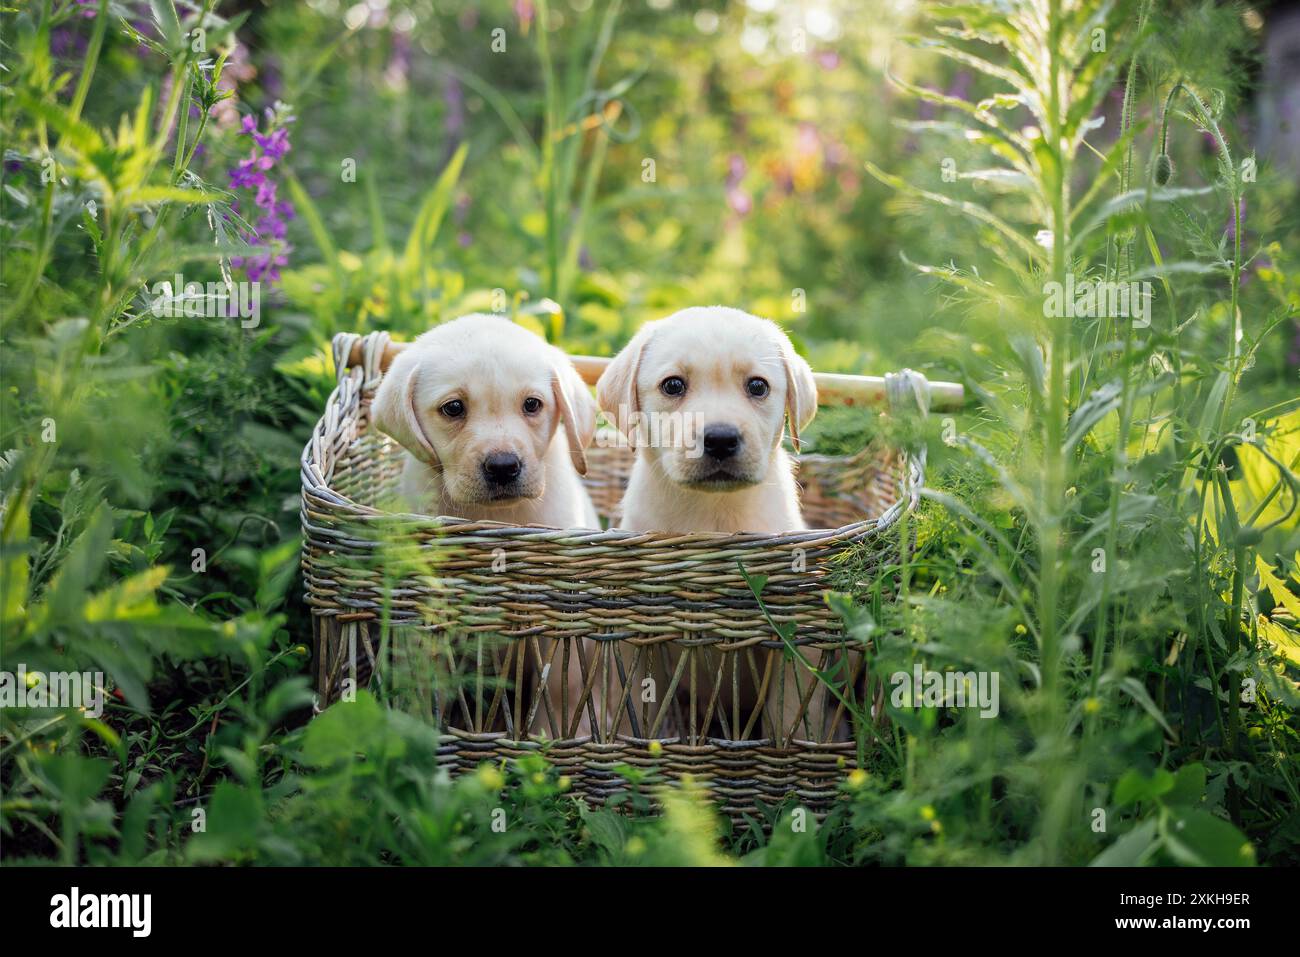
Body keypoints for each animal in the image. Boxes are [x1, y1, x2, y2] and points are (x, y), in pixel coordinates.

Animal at [595, 306, 826, 748]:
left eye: (757, 386)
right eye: (673, 385)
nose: (720, 439)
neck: (711, 510)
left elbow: (786, 714)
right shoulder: (636, 644)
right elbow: (634, 709)